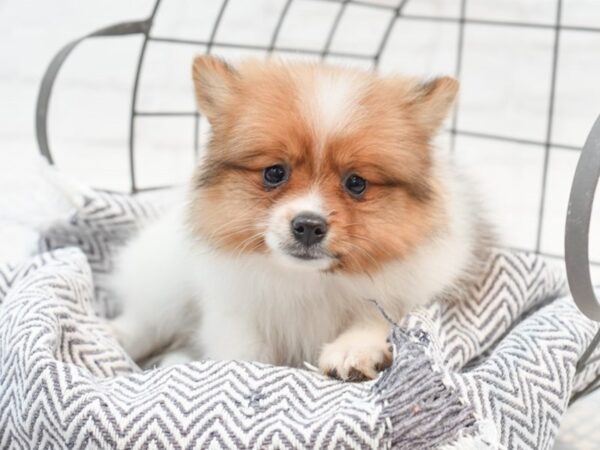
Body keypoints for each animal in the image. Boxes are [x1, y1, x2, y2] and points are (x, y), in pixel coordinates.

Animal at [110, 55, 490, 380]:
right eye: (275, 172)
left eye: (356, 183)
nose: (308, 226)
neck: (308, 282)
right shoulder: (233, 310)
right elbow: (243, 352)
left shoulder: (411, 290)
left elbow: (377, 318)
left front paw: (353, 351)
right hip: (166, 280)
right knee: (148, 320)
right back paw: (116, 334)